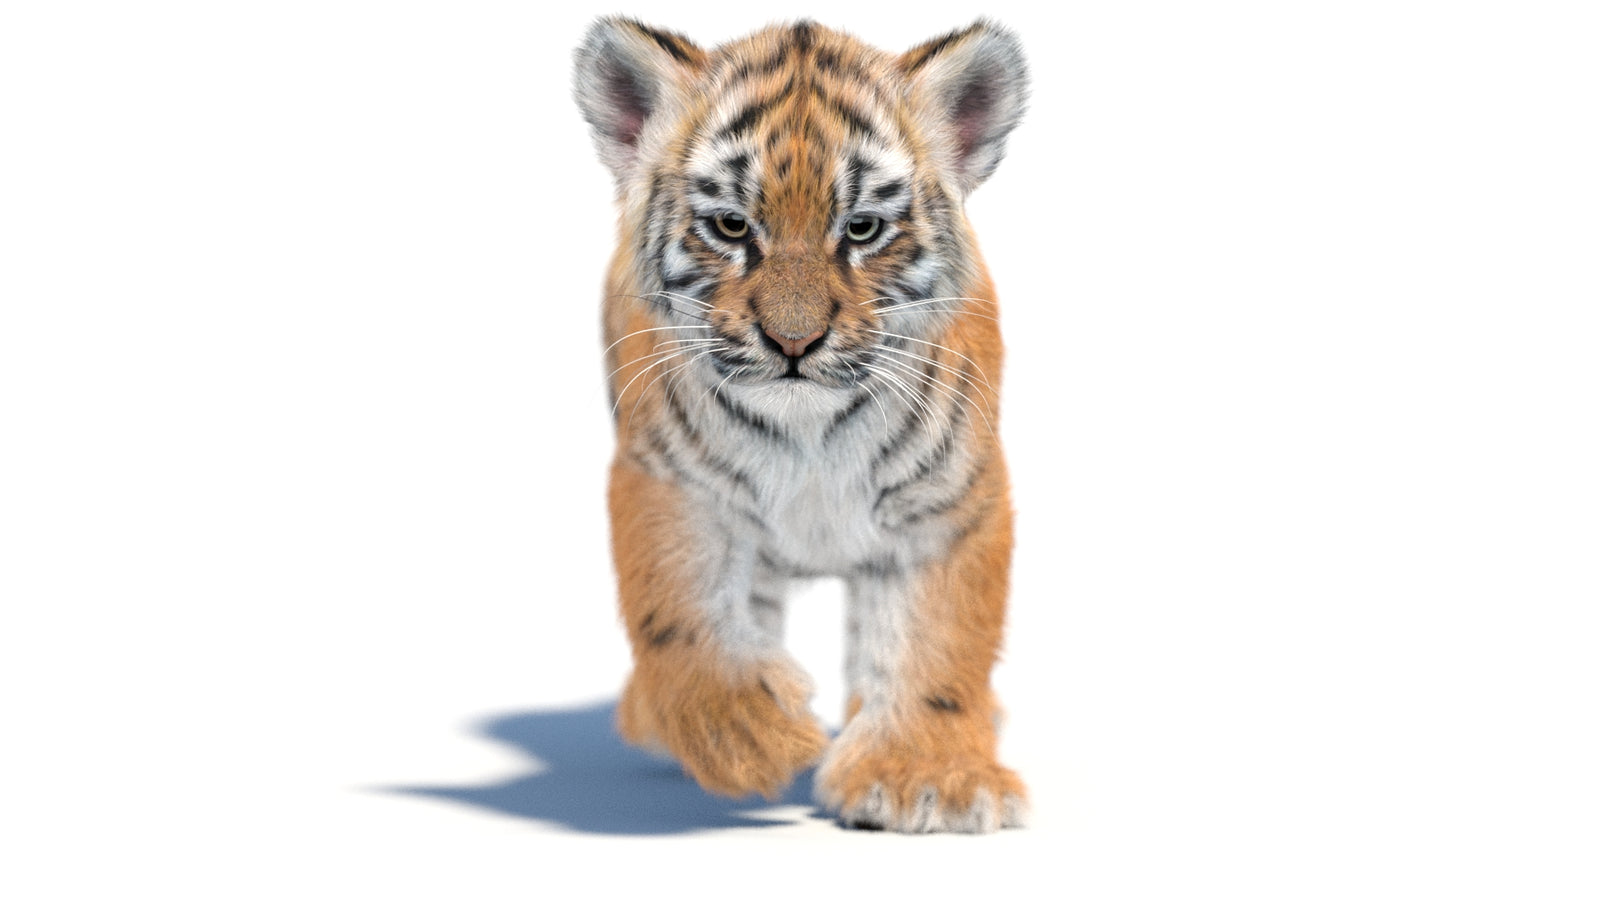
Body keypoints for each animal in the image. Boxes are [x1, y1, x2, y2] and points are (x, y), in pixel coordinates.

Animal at [573, 17, 1029, 833]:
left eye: (862, 228)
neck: (809, 434)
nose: (793, 342)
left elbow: (937, 643)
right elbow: (681, 619)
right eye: (731, 226)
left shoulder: (949, 505)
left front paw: (928, 779)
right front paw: (745, 732)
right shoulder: (670, 487)